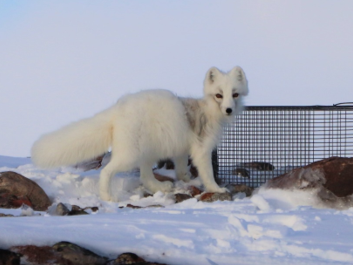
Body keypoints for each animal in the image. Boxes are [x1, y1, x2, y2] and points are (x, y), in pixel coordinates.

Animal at [32, 66, 248, 200]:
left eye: (235, 94)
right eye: (219, 95)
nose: (229, 109)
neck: (208, 110)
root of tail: (117, 109)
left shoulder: (181, 148)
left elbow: (180, 168)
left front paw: (186, 179)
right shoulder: (202, 148)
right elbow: (207, 173)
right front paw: (216, 188)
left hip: (148, 150)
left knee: (145, 176)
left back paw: (160, 187)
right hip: (131, 154)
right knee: (107, 171)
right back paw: (108, 197)